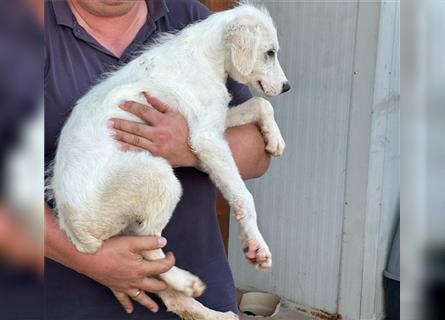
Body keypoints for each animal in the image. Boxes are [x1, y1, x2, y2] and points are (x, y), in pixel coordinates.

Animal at [50, 3, 290, 320]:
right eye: (270, 52)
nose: (287, 87)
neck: (206, 54)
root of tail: (74, 228)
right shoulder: (207, 139)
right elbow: (243, 196)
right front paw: (256, 245)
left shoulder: (214, 125)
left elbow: (260, 104)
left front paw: (275, 138)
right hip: (159, 179)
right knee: (149, 246)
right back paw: (184, 280)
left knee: (168, 290)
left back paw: (211, 311)